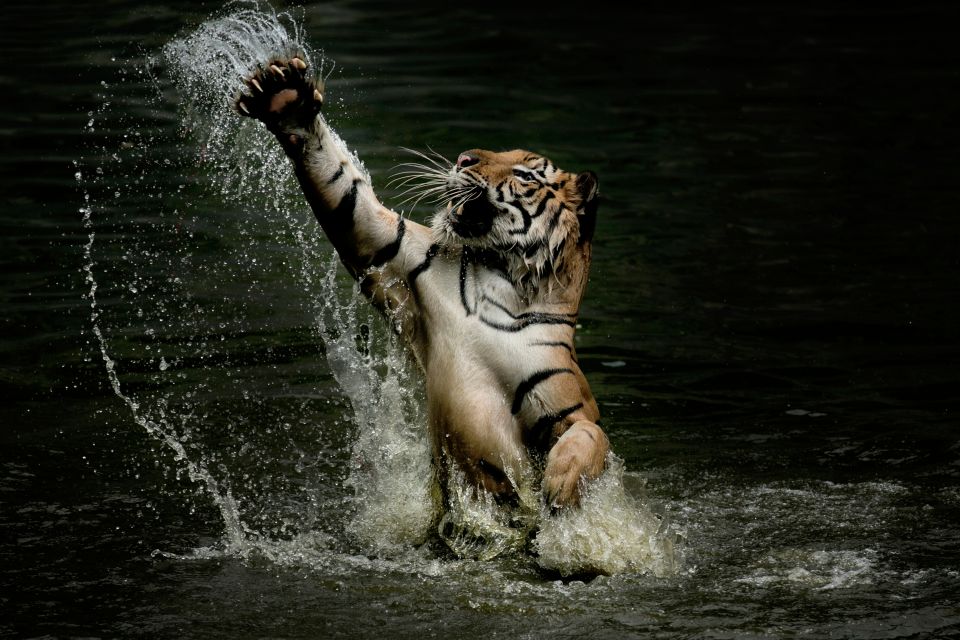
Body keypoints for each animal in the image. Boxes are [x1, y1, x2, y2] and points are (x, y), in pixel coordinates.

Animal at [232, 55, 608, 524]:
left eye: (523, 173)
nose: (464, 157)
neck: (500, 285)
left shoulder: (571, 405)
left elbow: (591, 435)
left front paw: (561, 484)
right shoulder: (395, 249)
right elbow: (347, 193)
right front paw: (285, 98)